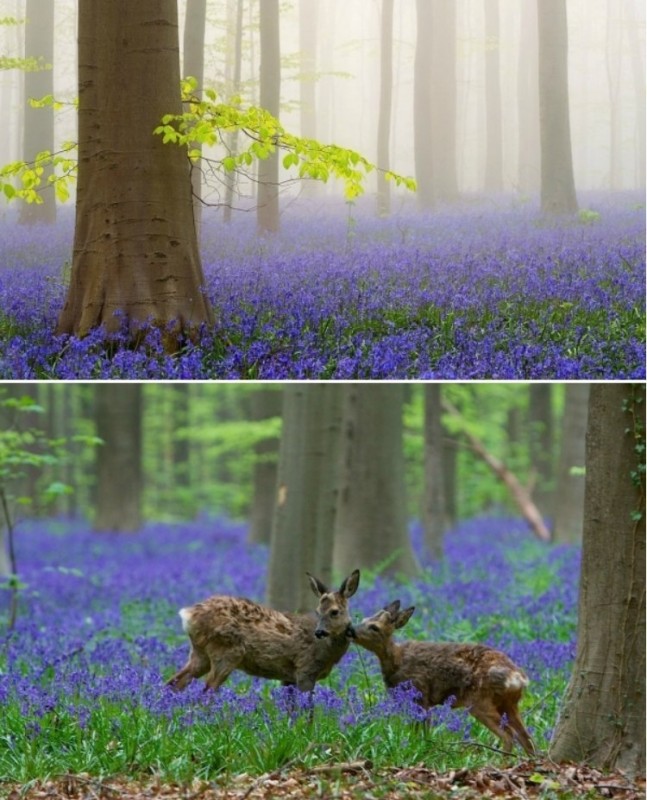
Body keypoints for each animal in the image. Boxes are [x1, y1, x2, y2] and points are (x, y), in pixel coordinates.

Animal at [167, 568, 360, 692]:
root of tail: (189, 614)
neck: (327, 652)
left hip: (200, 653)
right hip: (226, 651)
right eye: (318, 611)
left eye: (334, 612)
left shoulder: (288, 678)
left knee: (173, 683)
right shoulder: (305, 669)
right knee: (207, 691)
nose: (319, 633)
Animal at [356, 600, 536, 756]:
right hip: (509, 704)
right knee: (527, 739)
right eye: (364, 619)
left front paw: (421, 749)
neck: (397, 661)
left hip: (480, 701)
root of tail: (518, 677)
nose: (351, 630)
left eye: (374, 627)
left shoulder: (420, 694)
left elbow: (421, 730)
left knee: (508, 735)